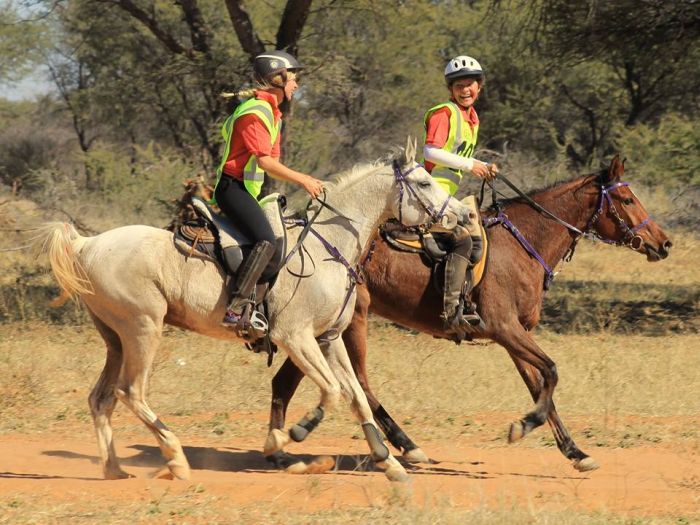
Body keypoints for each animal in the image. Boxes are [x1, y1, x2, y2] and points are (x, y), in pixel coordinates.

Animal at [43, 145, 470, 482]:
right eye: (426, 184)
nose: (463, 216)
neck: (328, 247)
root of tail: (86, 244)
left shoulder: (329, 339)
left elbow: (355, 396)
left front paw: (389, 463)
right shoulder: (295, 338)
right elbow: (332, 391)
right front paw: (286, 437)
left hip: (116, 338)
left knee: (101, 399)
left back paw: (114, 469)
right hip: (143, 330)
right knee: (131, 392)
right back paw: (175, 459)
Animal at [266, 155, 668, 470]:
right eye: (627, 198)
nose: (663, 243)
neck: (524, 244)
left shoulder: (515, 336)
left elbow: (540, 386)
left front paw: (575, 452)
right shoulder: (505, 329)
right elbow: (552, 373)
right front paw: (521, 427)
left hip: (324, 326)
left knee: (287, 381)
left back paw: (280, 448)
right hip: (353, 321)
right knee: (359, 381)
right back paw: (405, 446)